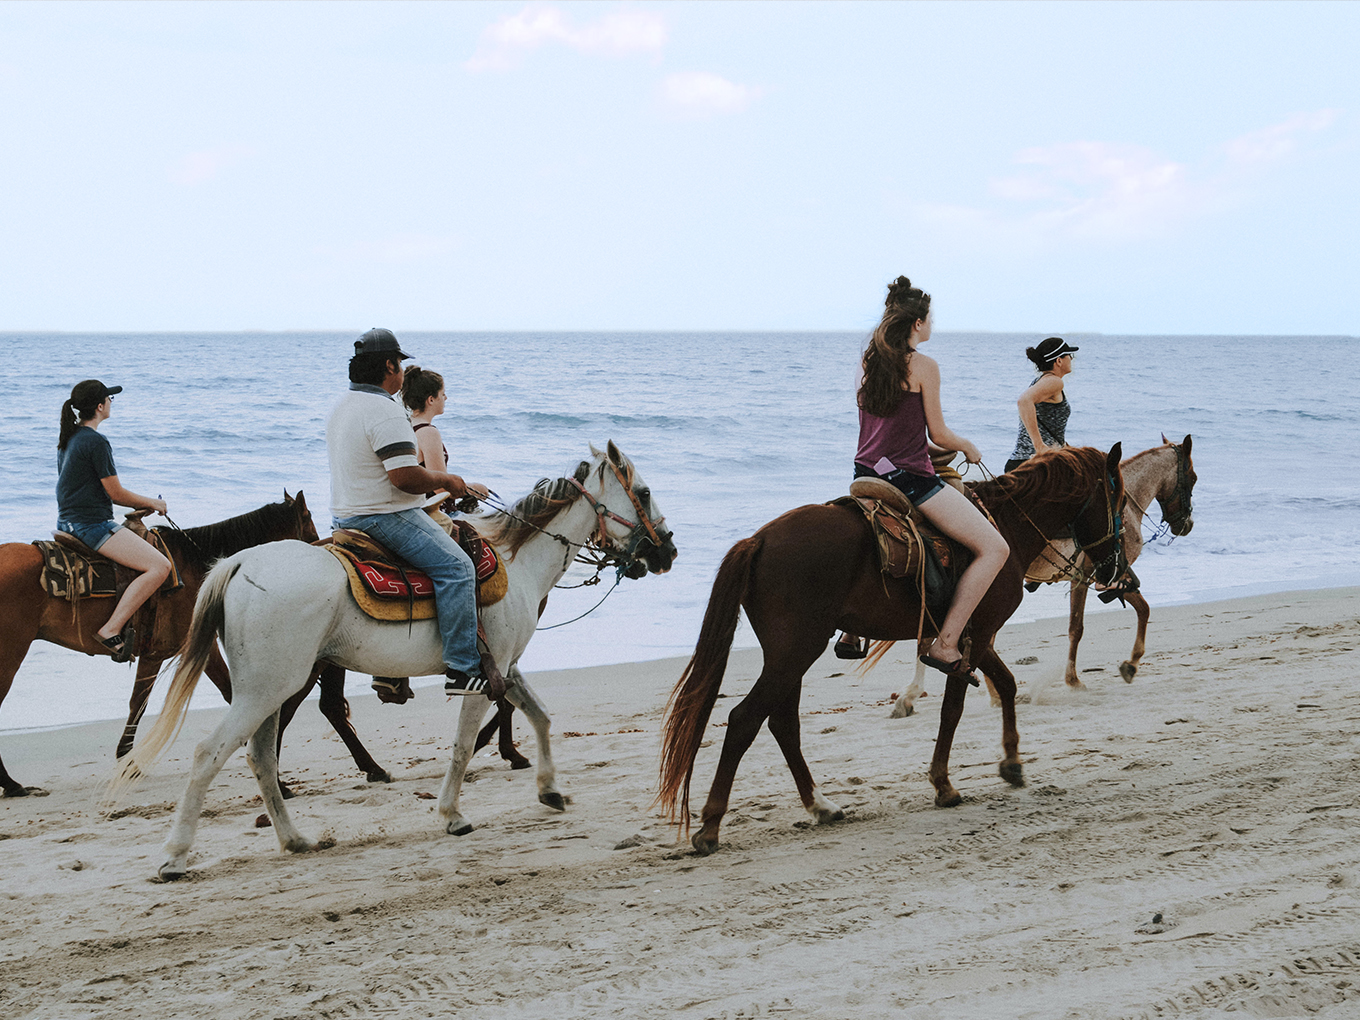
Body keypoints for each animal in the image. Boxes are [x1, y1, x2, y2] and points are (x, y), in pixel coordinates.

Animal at [0, 495, 316, 799]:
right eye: (310, 529)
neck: (197, 566)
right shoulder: (188, 649)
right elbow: (215, 696)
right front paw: (277, 781)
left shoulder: (163, 653)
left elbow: (138, 703)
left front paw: (127, 761)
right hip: (10, 656)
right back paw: (12, 784)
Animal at [115, 443, 674, 881]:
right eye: (644, 493)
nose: (666, 552)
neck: (516, 562)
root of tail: (240, 561)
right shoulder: (481, 673)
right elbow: (464, 745)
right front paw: (451, 814)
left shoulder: (505, 668)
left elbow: (539, 715)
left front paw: (550, 790)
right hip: (268, 688)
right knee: (210, 753)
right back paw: (174, 856)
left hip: (271, 689)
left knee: (262, 758)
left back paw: (295, 839)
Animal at [658, 446, 1126, 854]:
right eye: (1118, 498)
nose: (1116, 568)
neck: (1006, 527)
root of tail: (758, 541)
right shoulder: (975, 635)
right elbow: (954, 709)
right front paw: (944, 784)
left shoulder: (971, 635)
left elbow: (1007, 685)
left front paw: (1011, 762)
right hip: (795, 652)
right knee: (745, 720)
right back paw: (711, 825)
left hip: (789, 655)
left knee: (782, 724)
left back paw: (820, 806)